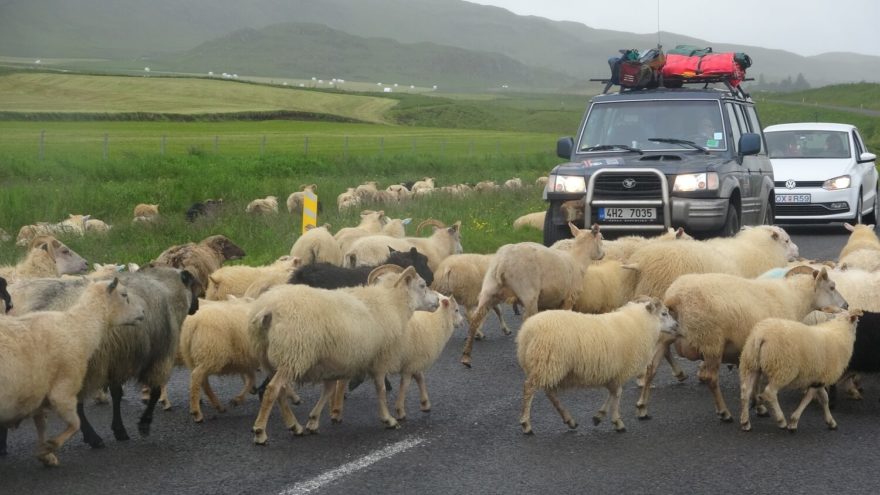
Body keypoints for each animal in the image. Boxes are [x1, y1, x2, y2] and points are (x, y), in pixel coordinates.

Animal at [0, 280, 146, 466]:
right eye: (124, 294)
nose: (143, 312)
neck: (78, 327)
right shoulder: (63, 392)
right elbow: (75, 424)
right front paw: (50, 447)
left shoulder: (38, 395)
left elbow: (42, 425)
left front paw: (46, 455)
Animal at [248, 266, 440, 444]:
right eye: (422, 285)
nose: (438, 300)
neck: (391, 302)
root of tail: (268, 309)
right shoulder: (379, 359)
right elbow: (381, 389)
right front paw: (388, 419)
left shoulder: (338, 361)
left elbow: (329, 390)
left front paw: (315, 420)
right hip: (293, 355)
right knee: (273, 389)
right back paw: (260, 432)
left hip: (269, 358)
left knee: (278, 391)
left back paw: (295, 426)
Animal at [460, 223, 604, 366]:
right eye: (601, 237)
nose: (603, 254)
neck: (578, 260)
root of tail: (504, 262)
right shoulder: (569, 298)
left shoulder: (548, 302)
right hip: (528, 292)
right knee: (526, 321)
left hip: (489, 288)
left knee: (475, 320)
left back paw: (466, 357)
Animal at [516, 296, 680, 436]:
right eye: (664, 313)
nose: (677, 325)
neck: (640, 323)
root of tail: (527, 331)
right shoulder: (620, 371)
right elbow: (617, 393)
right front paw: (617, 422)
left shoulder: (613, 372)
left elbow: (613, 393)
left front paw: (599, 417)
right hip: (546, 362)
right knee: (529, 389)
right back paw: (526, 424)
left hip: (548, 366)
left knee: (550, 392)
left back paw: (569, 420)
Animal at [640, 268, 852, 422]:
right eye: (832, 287)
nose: (847, 305)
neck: (796, 299)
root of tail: (674, 297)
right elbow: (758, 381)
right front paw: (759, 406)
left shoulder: (754, 350)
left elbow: (755, 380)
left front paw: (757, 405)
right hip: (711, 341)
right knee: (710, 378)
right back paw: (724, 412)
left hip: (666, 335)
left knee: (651, 369)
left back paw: (642, 407)